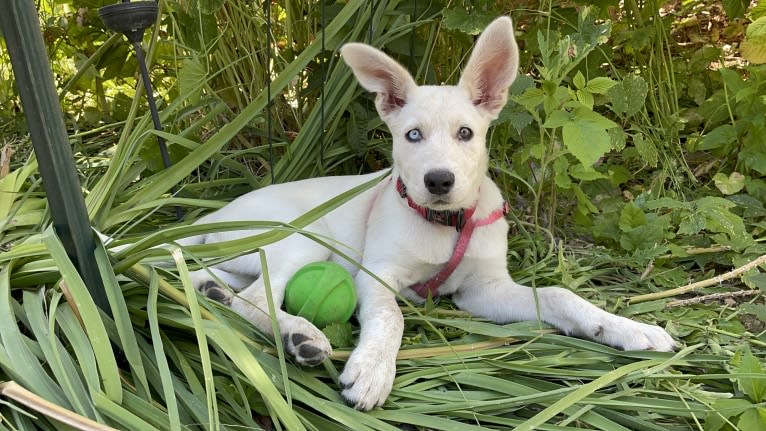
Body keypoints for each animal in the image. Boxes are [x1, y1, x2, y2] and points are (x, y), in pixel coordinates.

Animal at [148, 16, 672, 412]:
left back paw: (216, 293)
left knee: (214, 282)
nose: (438, 181)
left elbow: (559, 294)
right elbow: (392, 318)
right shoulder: (377, 275)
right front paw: (373, 372)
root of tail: (219, 213)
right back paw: (301, 335)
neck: (446, 224)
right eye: (412, 135)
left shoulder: (483, 291)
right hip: (302, 236)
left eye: (466, 133)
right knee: (256, 296)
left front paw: (628, 329)